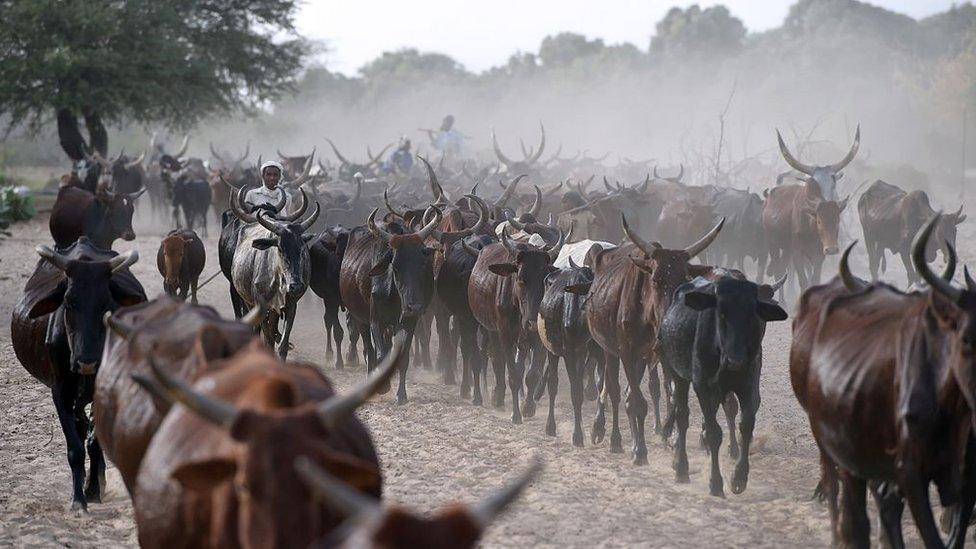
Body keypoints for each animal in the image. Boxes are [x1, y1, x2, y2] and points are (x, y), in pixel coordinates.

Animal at [584, 214, 720, 462]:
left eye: (684, 281)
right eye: (655, 280)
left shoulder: (664, 357)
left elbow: (671, 397)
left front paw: (671, 439)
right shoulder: (626, 352)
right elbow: (636, 402)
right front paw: (640, 451)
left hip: (642, 357)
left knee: (629, 392)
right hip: (609, 350)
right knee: (614, 390)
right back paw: (612, 437)